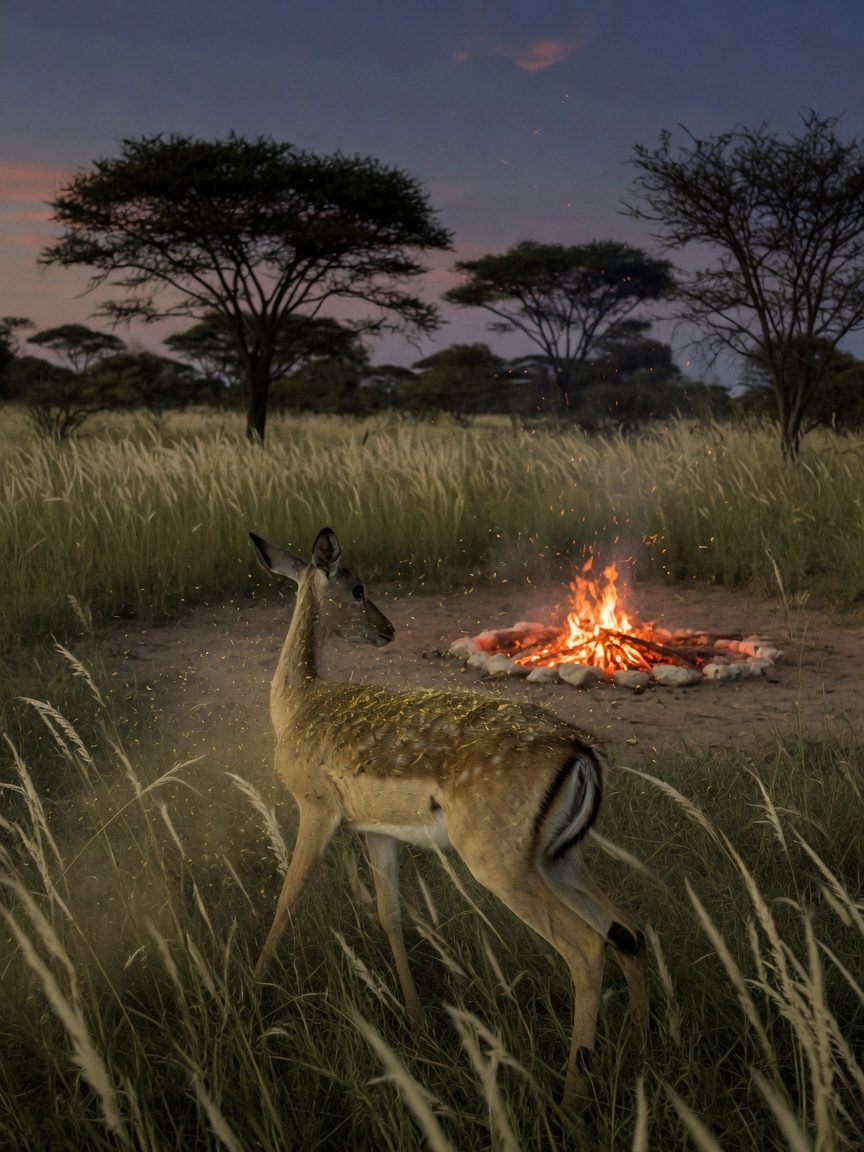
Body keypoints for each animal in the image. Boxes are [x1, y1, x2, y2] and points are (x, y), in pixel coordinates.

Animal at [249, 526, 649, 1111]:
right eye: (357, 588)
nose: (388, 630)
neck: (297, 707)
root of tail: (581, 752)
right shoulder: (375, 832)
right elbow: (390, 915)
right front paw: (416, 1024)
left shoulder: (316, 810)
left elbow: (285, 899)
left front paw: (250, 994)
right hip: (560, 859)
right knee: (627, 929)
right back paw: (644, 1045)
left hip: (499, 864)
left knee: (587, 946)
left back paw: (571, 1100)